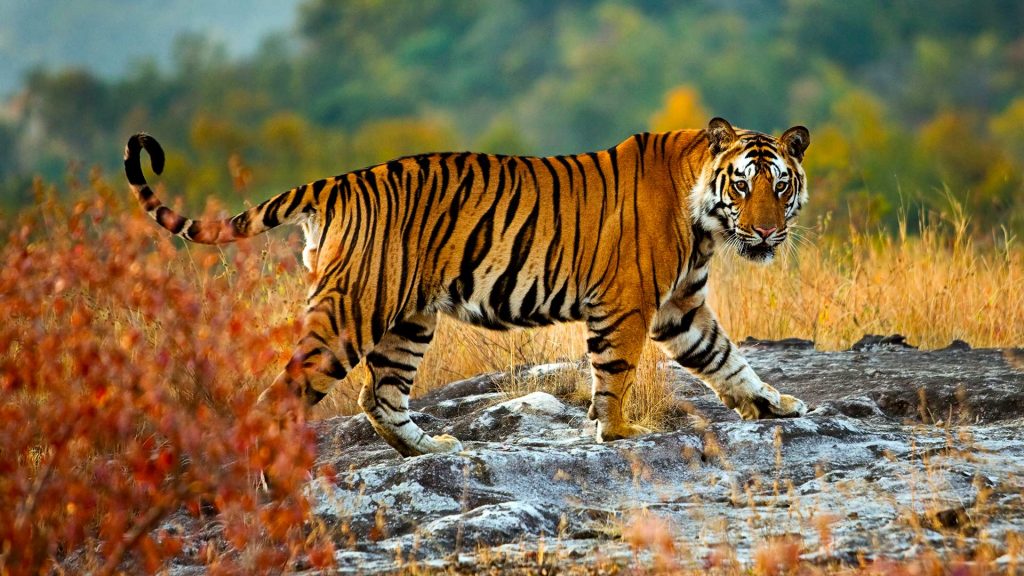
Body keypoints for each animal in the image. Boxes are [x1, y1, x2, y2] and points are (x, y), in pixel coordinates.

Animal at [121, 116, 806, 455]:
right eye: (743, 184)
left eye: (781, 185)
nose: (768, 233)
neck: (706, 221)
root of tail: (336, 182)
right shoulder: (627, 305)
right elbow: (614, 374)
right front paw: (617, 434)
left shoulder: (681, 307)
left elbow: (727, 358)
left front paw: (776, 405)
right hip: (351, 312)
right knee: (281, 395)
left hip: (406, 320)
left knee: (379, 396)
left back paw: (431, 449)